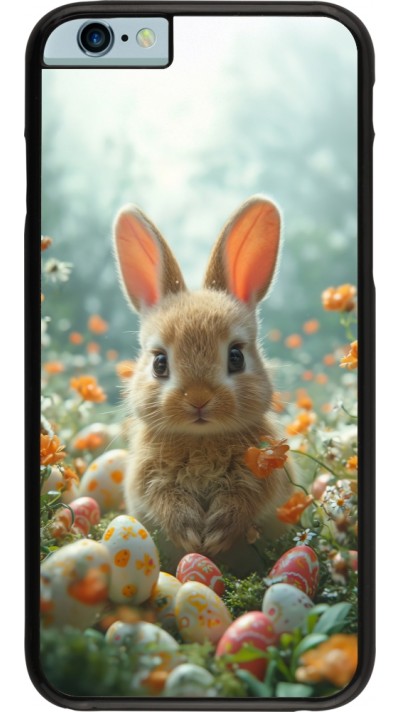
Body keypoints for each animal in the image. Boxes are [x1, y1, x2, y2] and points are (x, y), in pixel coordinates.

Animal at [113, 195, 293, 563]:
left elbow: (244, 500)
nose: (198, 399)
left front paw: (216, 535)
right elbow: (165, 500)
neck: (201, 439)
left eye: (236, 357)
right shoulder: (148, 478)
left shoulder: (262, 475)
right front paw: (191, 534)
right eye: (159, 363)